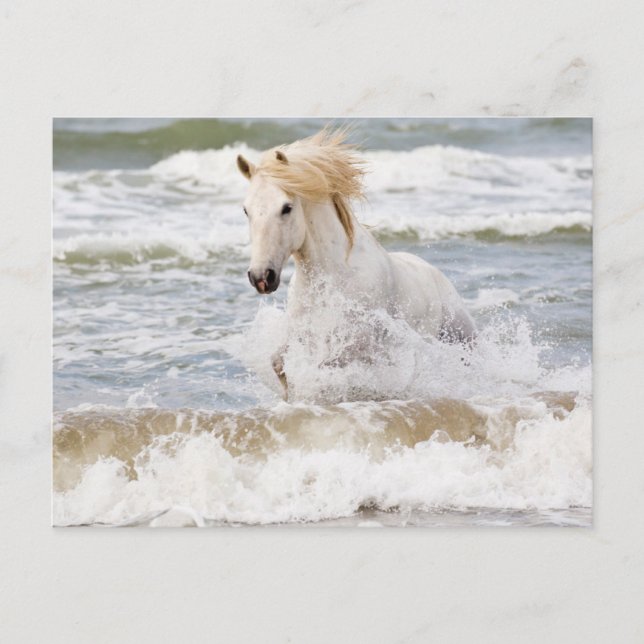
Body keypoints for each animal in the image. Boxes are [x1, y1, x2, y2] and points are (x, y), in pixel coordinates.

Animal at [236, 128, 476, 398]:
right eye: (246, 210)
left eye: (286, 208)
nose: (261, 277)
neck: (333, 275)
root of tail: (435, 273)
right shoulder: (303, 332)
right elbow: (278, 363)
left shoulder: (360, 344)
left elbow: (325, 367)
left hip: (461, 338)